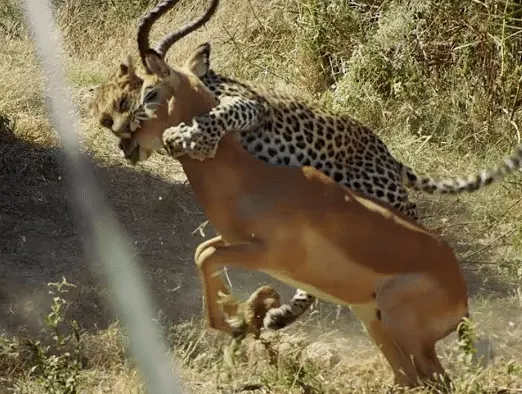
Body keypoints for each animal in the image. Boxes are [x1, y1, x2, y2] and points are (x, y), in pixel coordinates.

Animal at [86, 0, 520, 332]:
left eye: (146, 94)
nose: (121, 139)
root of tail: (389, 156)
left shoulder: (250, 107)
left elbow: (223, 115)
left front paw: (191, 138)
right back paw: (280, 314)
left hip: (385, 205)